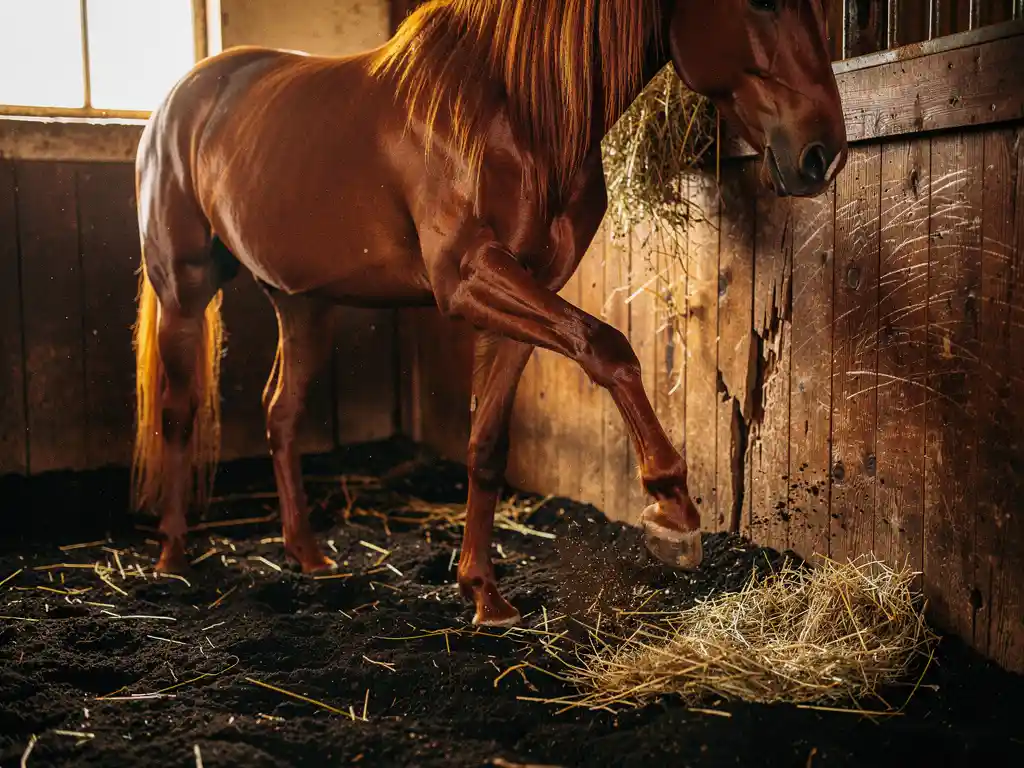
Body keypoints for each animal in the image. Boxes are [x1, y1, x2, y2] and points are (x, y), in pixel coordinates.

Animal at [131, 0, 847, 627]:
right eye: (762, 0)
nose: (823, 153)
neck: (511, 108)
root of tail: (177, 103)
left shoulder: (526, 292)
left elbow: (487, 444)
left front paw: (483, 592)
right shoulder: (471, 278)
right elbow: (608, 346)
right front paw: (672, 512)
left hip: (302, 302)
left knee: (281, 413)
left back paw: (307, 555)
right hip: (183, 293)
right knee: (178, 411)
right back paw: (172, 556)